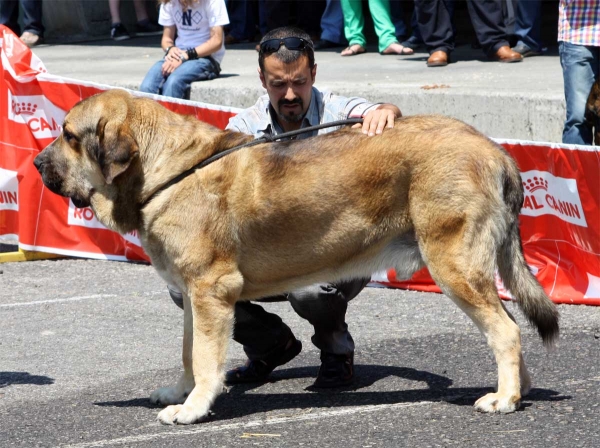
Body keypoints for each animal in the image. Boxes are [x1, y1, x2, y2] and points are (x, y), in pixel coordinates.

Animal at [32, 89, 556, 426]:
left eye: (70, 136)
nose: (37, 164)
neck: (165, 169)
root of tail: (495, 150)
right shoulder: (192, 294)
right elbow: (187, 351)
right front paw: (181, 393)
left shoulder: (211, 290)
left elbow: (203, 357)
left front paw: (193, 408)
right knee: (509, 324)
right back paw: (519, 390)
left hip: (453, 264)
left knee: (505, 329)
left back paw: (504, 399)